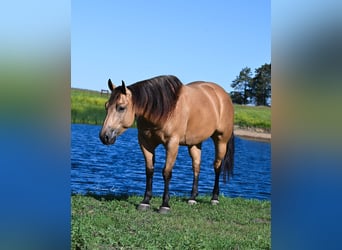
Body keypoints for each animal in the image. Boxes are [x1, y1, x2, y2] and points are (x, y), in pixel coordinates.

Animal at [97, 74, 234, 213]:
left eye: (121, 107)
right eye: (106, 106)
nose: (105, 137)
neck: (165, 109)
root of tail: (223, 95)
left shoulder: (172, 144)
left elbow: (166, 172)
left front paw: (165, 204)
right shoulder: (146, 143)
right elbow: (149, 170)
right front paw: (145, 201)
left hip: (221, 140)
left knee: (217, 166)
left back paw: (214, 198)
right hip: (195, 143)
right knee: (196, 166)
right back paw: (192, 198)